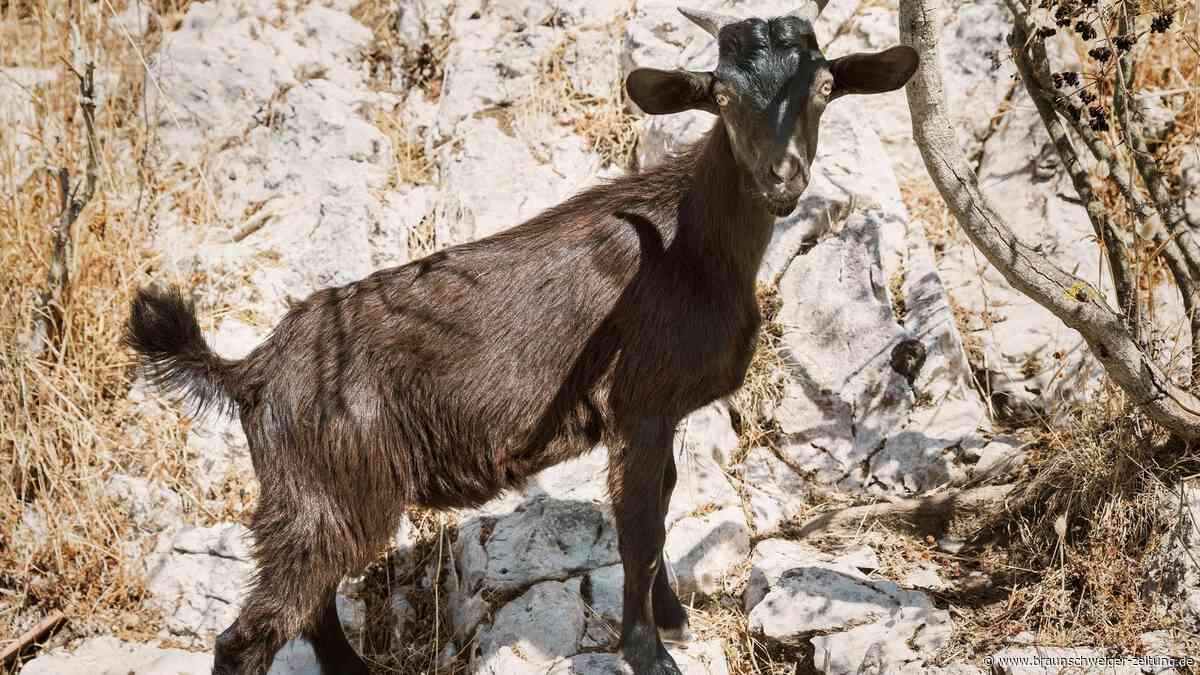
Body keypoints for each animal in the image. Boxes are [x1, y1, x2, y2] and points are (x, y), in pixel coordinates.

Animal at [125, 5, 917, 674]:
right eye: (720, 96)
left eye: (824, 87)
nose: (783, 178)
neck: (690, 243)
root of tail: (253, 369)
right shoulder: (638, 405)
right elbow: (639, 527)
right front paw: (648, 652)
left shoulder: (661, 414)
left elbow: (661, 509)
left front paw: (672, 616)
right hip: (325, 495)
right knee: (252, 631)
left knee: (310, 607)